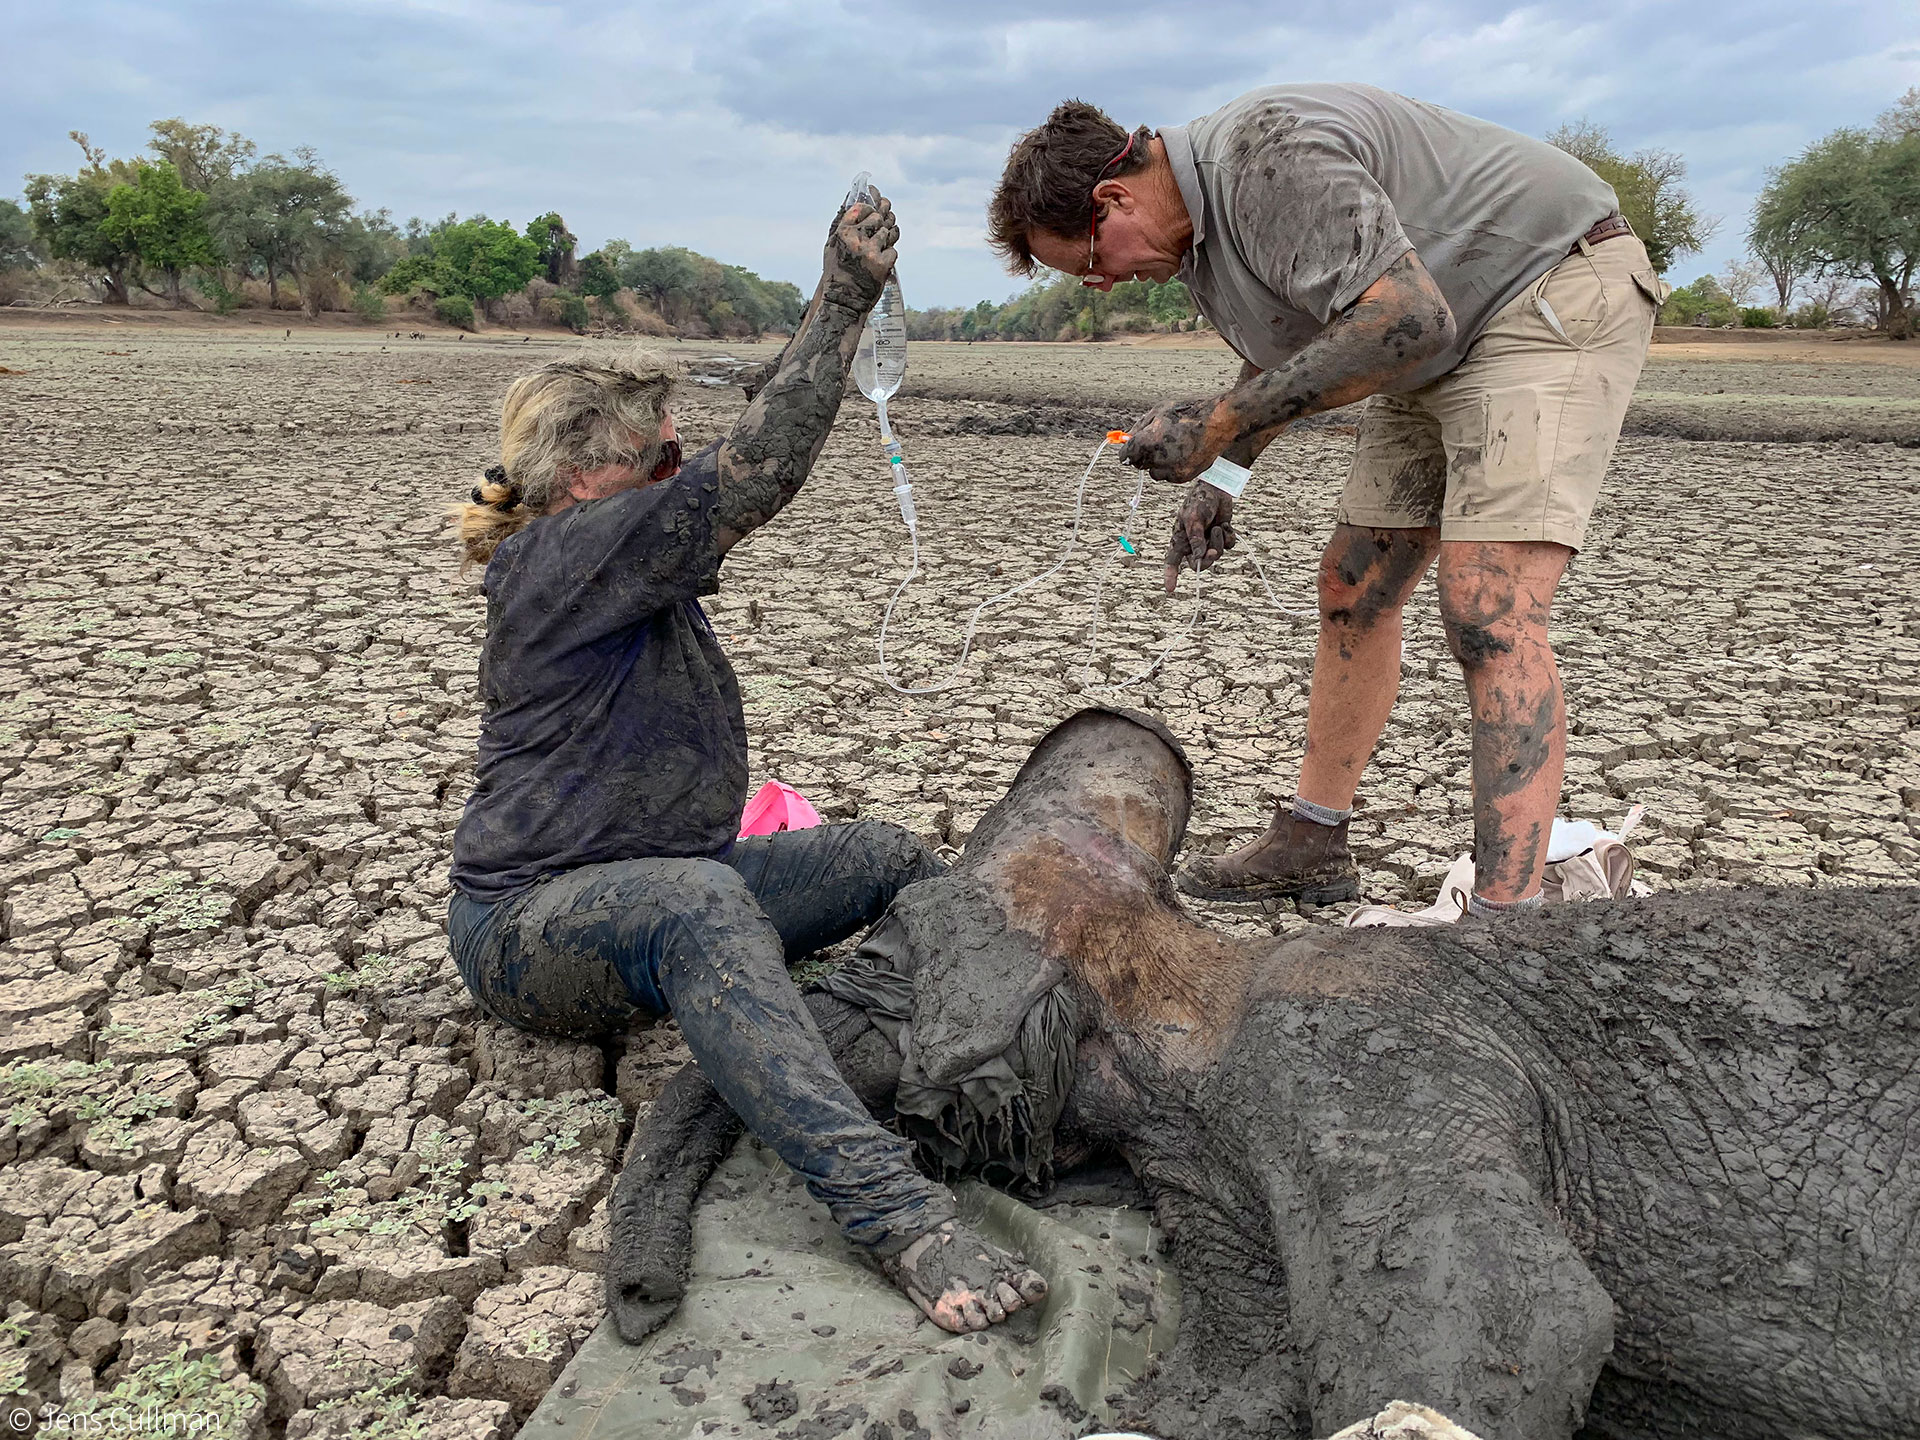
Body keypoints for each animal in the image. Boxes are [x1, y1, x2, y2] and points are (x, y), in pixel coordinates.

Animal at [610, 706, 1920, 1440]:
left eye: (878, 949)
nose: (638, 1306)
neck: (1197, 984)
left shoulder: (1350, 1059)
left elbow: (1516, 1324)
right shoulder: (1205, 1160)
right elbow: (1234, 1393)